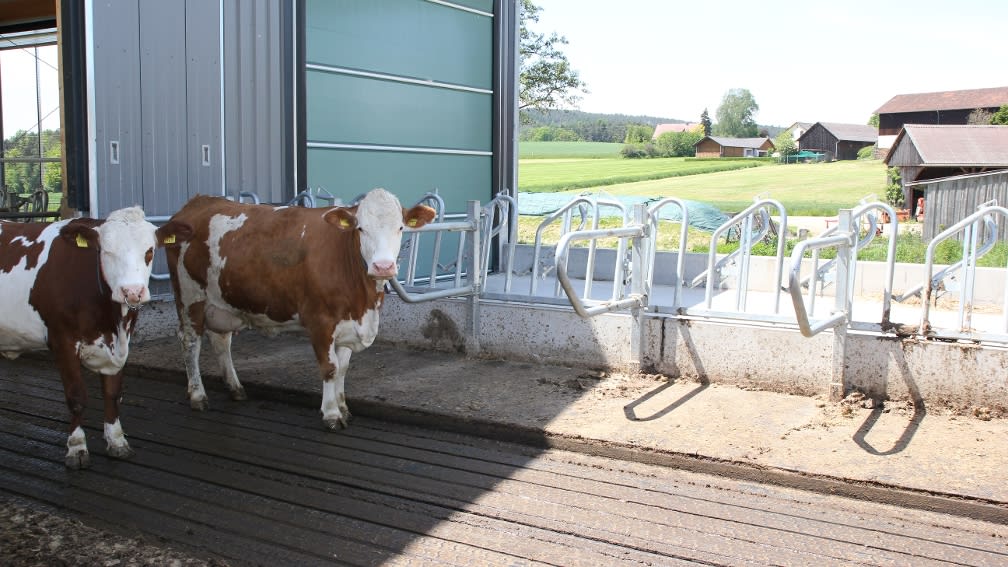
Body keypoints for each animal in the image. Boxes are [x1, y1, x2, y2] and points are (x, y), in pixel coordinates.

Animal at [0, 207, 192, 468]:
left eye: (149, 251)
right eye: (106, 251)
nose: (132, 292)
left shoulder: (121, 344)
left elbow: (112, 393)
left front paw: (117, 441)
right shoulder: (62, 340)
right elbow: (77, 397)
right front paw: (76, 447)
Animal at [164, 187, 433, 425]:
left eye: (400, 227)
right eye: (361, 228)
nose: (383, 266)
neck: (363, 303)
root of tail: (198, 202)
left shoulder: (348, 324)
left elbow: (343, 368)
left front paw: (343, 408)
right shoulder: (320, 321)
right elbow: (330, 368)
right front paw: (331, 414)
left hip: (222, 301)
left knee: (221, 340)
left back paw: (235, 388)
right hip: (189, 297)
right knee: (190, 342)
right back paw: (198, 395)